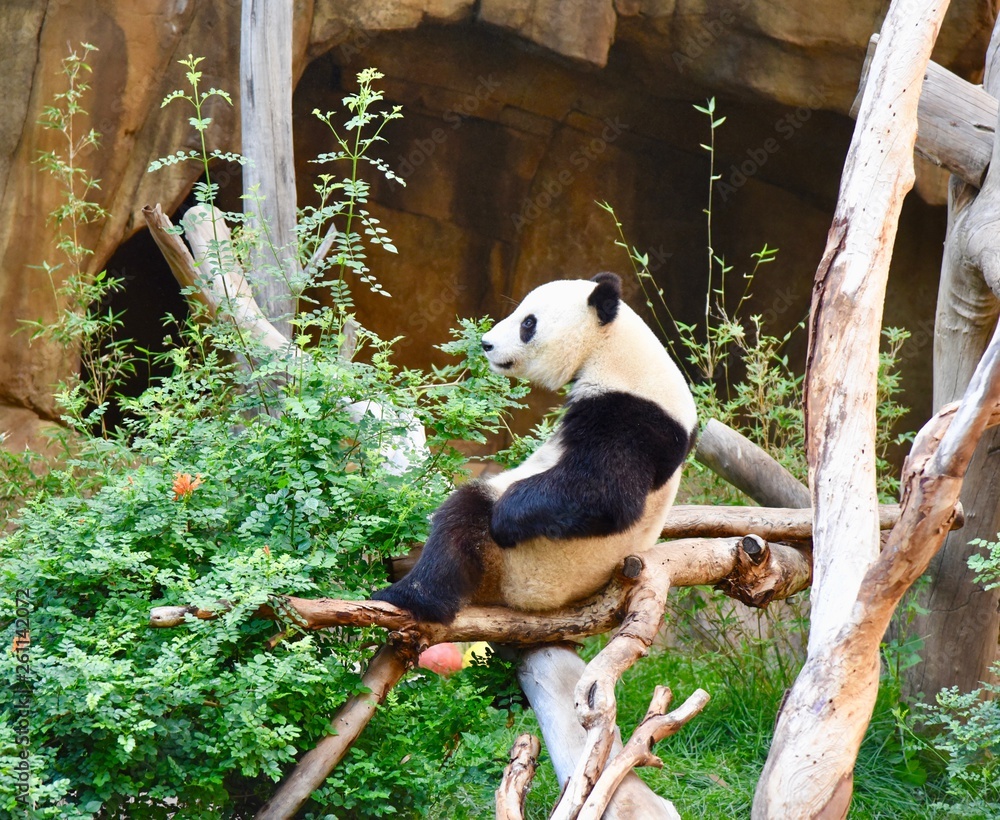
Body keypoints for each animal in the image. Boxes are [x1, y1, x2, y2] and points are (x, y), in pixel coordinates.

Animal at [372, 272, 697, 623]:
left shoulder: (631, 418)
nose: (486, 343)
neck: (613, 350)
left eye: (528, 323)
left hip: (534, 567)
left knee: (462, 516)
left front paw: (504, 518)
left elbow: (605, 494)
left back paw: (410, 597)